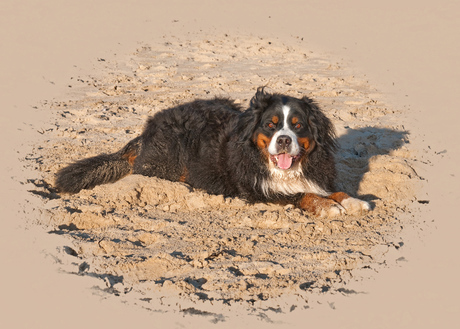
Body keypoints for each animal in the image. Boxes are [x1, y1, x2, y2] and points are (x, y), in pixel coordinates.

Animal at [54, 86, 370, 215]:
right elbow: (301, 195)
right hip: (170, 156)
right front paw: (328, 207)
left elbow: (330, 190)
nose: (283, 140)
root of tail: (147, 129)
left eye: (298, 125)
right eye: (271, 125)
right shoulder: (257, 191)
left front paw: (353, 201)